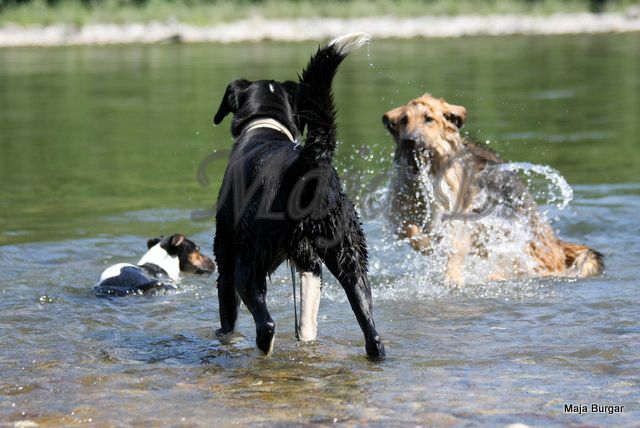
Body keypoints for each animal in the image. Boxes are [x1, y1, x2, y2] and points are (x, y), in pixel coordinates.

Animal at [214, 33, 384, 360]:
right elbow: (307, 319)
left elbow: (228, 317)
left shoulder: (225, 255)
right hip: (349, 253)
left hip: (248, 258)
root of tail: (307, 161)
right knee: (371, 328)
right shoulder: (308, 261)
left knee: (265, 323)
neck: (266, 124)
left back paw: (262, 350)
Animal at [382, 95, 604, 286]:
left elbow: (455, 246)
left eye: (428, 119)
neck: (429, 170)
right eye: (404, 120)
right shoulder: (400, 213)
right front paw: (427, 246)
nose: (409, 141)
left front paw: (452, 276)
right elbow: (410, 230)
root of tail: (555, 242)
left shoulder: (463, 218)